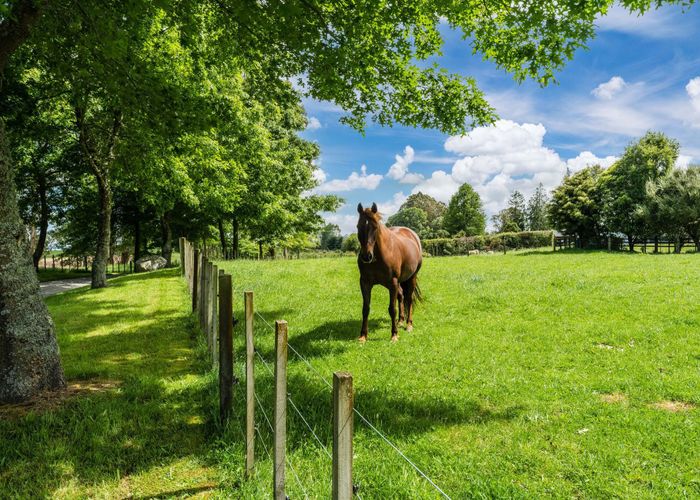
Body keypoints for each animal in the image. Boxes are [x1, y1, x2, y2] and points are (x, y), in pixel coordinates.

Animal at [356, 201, 422, 342]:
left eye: (375, 227)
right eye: (358, 226)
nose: (366, 257)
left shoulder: (393, 283)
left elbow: (392, 309)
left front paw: (394, 335)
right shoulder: (365, 283)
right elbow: (366, 308)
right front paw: (363, 336)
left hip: (412, 277)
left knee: (409, 298)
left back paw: (408, 325)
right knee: (401, 296)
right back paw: (400, 321)